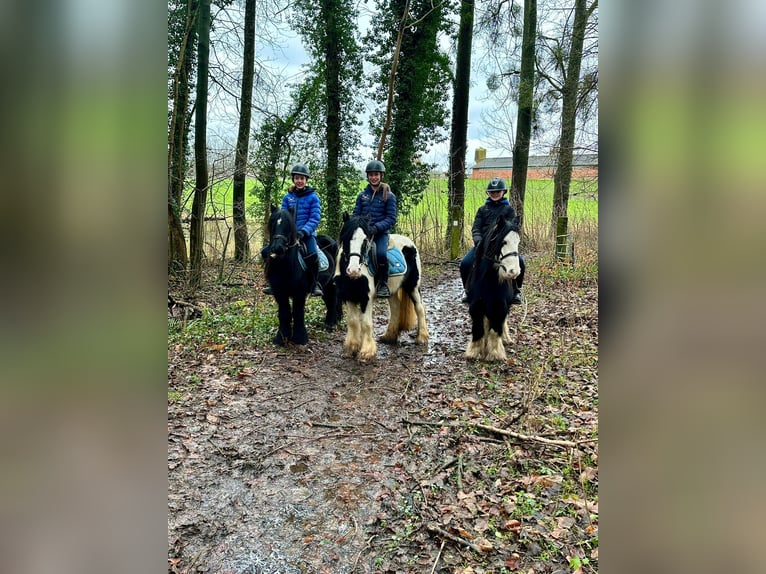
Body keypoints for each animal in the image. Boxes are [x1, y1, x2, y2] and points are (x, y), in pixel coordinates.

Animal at [268, 206, 342, 346]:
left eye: (288, 225)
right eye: (272, 223)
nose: (277, 248)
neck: (286, 266)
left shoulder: (299, 293)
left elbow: (297, 313)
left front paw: (300, 338)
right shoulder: (279, 293)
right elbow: (284, 313)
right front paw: (281, 338)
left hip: (331, 283)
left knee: (333, 299)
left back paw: (331, 323)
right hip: (325, 286)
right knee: (329, 300)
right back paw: (335, 319)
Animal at [336, 214, 432, 362]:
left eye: (365, 240)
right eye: (346, 238)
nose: (354, 271)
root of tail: (410, 243)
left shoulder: (366, 297)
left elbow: (366, 323)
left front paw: (366, 352)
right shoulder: (348, 296)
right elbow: (352, 322)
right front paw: (351, 349)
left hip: (413, 286)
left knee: (420, 308)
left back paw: (421, 338)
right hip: (392, 290)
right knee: (396, 308)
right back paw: (389, 336)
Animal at [464, 205, 524, 362]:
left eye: (518, 242)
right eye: (503, 242)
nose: (513, 271)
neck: (488, 279)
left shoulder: (501, 305)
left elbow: (496, 328)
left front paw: (495, 353)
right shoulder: (475, 305)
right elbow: (478, 328)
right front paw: (474, 352)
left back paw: (506, 339)